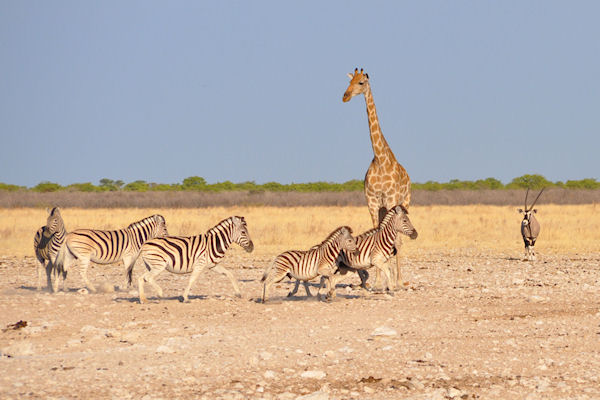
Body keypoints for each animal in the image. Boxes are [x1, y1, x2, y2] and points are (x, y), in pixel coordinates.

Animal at [342, 67, 412, 290]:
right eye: (349, 81)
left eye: (361, 82)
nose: (345, 96)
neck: (380, 159)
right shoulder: (372, 202)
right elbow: (375, 236)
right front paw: (376, 281)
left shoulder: (390, 201)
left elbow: (395, 241)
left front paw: (393, 282)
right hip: (382, 209)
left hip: (404, 202)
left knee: (400, 240)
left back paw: (399, 279)